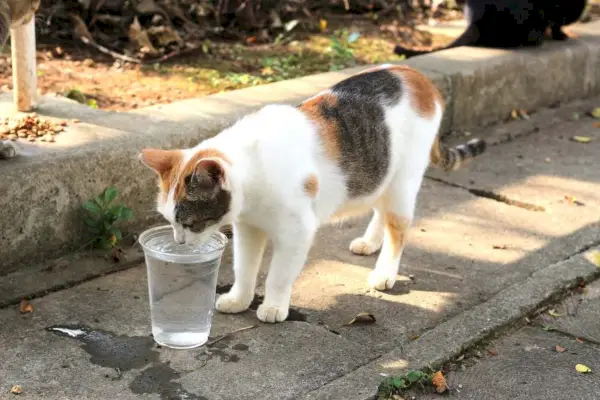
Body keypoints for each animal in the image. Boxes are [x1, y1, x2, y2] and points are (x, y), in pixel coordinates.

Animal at [141, 64, 488, 324]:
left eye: (189, 223)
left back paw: (384, 272)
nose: (178, 243)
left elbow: (279, 274)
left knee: (397, 228)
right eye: (170, 222)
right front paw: (239, 299)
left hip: (403, 180)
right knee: (381, 208)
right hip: (378, 170)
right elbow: (244, 267)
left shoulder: (297, 231)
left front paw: (273, 306)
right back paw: (369, 242)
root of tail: (418, 77)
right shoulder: (249, 228)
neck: (254, 168)